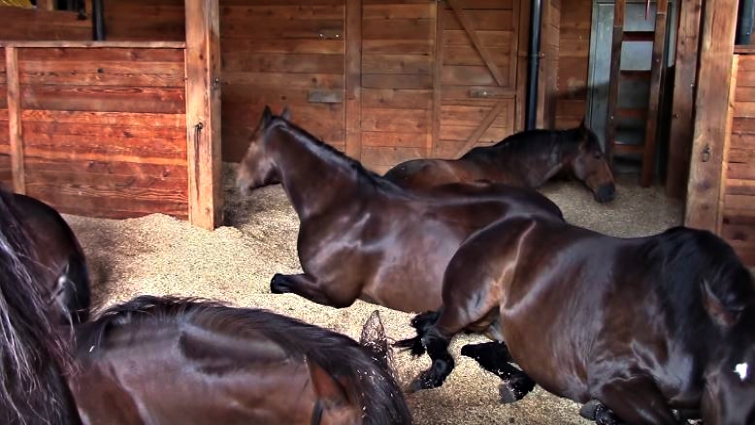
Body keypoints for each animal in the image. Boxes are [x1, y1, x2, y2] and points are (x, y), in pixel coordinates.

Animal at [398, 217, 752, 422]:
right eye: (715, 382)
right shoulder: (613, 380)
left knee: (477, 349)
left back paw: (514, 384)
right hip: (470, 305)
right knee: (436, 335)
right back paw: (431, 376)